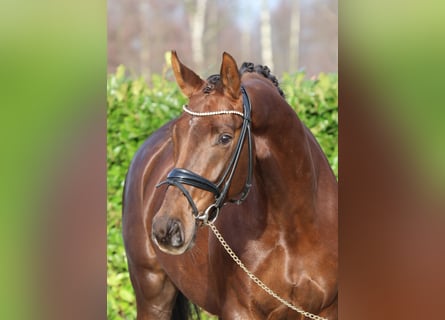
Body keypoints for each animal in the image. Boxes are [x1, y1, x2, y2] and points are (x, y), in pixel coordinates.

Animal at [121, 51, 336, 318]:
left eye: (224, 137)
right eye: (175, 136)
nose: (166, 228)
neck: (295, 228)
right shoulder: (238, 310)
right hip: (152, 294)